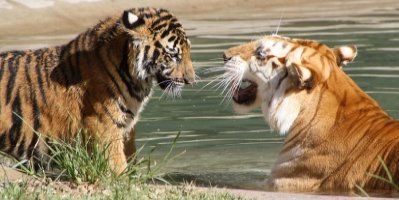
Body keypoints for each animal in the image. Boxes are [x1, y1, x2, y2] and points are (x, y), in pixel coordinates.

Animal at [0, 7, 195, 174]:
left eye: (187, 51)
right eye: (173, 55)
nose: (191, 81)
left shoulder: (127, 127)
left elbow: (130, 156)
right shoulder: (103, 124)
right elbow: (117, 162)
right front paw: (125, 181)